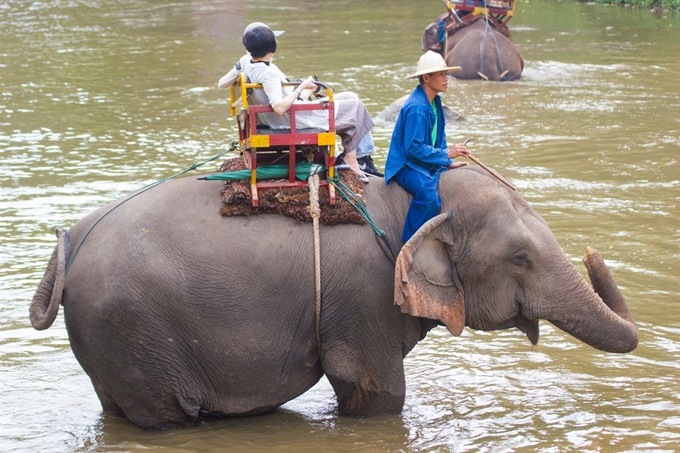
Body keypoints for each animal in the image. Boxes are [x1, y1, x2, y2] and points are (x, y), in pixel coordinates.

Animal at [30, 164, 636, 430]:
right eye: (521, 258)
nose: (592, 251)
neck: (404, 199)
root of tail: (69, 247)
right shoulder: (364, 298)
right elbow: (379, 390)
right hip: (134, 333)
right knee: (167, 418)